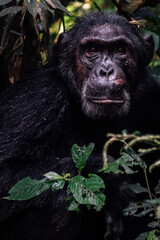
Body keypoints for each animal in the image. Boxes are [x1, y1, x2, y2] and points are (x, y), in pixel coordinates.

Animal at [0, 11, 160, 240]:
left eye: (120, 50)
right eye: (92, 50)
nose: (106, 71)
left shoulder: (151, 96)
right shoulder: (38, 97)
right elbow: (6, 172)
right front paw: (108, 176)